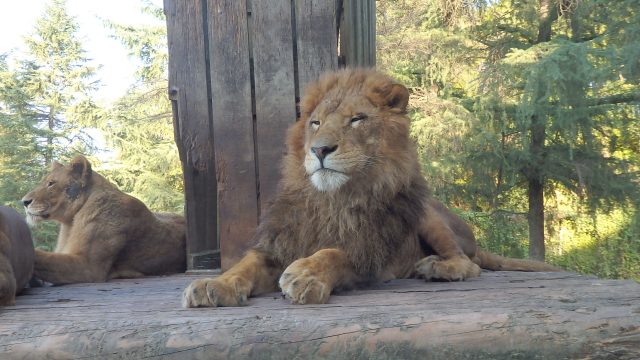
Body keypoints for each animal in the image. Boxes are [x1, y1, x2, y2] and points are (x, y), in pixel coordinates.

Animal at [181, 68, 560, 306]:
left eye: (357, 119)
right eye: (315, 123)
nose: (320, 150)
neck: (331, 199)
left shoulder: (368, 254)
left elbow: (333, 253)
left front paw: (306, 274)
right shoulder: (279, 244)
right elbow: (244, 265)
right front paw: (214, 284)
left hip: (427, 214)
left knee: (470, 264)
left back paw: (435, 268)